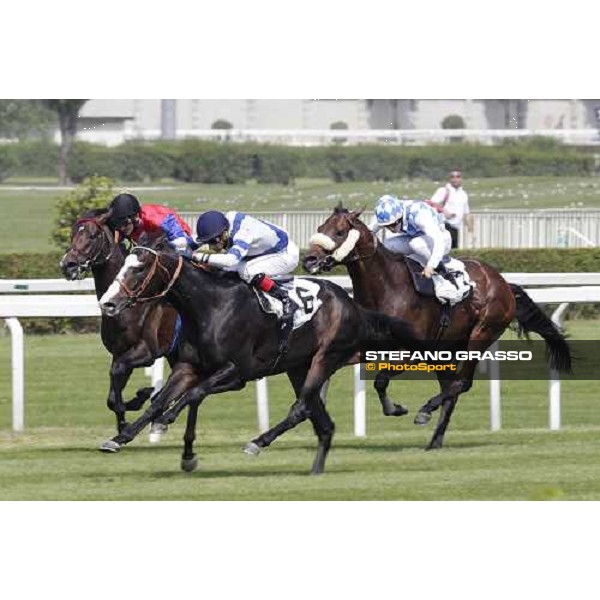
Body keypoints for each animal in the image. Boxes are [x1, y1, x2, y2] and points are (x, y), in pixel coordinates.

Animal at [61, 209, 184, 434]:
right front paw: (134, 404)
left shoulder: (146, 351)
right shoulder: (119, 352)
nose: (68, 264)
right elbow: (112, 395)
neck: (129, 307)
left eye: (92, 235)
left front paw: (140, 399)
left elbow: (117, 372)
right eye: (73, 234)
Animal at [96, 245, 420, 474]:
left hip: (325, 358)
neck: (210, 306)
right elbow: (159, 400)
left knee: (300, 408)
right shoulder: (188, 367)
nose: (108, 303)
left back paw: (257, 443)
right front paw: (120, 437)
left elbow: (193, 394)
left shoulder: (236, 372)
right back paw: (315, 469)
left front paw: (167, 426)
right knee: (322, 421)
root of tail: (352, 305)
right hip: (297, 366)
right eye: (122, 266)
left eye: (139, 269)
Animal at [302, 204, 568, 448]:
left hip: (481, 334)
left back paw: (426, 411)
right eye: (320, 228)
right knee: (452, 388)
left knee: (461, 383)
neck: (388, 288)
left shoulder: (412, 352)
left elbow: (381, 380)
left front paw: (396, 408)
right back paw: (435, 440)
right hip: (446, 349)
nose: (309, 259)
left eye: (339, 232)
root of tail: (503, 283)